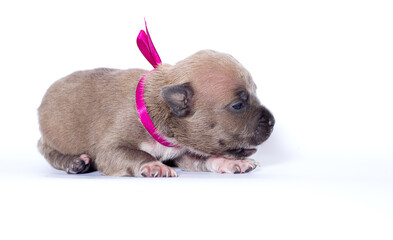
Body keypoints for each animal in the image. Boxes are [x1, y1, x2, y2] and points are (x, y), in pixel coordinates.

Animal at [38, 49, 274, 177]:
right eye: (238, 105)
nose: (272, 121)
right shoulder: (112, 147)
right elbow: (135, 154)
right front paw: (153, 165)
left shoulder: (183, 151)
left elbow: (204, 158)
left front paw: (231, 163)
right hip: (52, 137)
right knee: (50, 152)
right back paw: (76, 163)